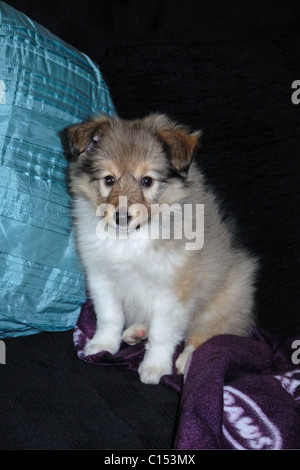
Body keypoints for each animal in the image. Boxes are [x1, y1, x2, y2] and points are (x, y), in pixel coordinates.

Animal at [65, 112, 258, 384]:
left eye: (147, 181)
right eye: (109, 180)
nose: (121, 217)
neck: (131, 239)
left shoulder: (173, 290)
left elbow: (162, 333)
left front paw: (155, 367)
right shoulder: (102, 278)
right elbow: (109, 317)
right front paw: (102, 345)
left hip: (228, 295)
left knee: (210, 331)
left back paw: (189, 359)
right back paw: (136, 331)